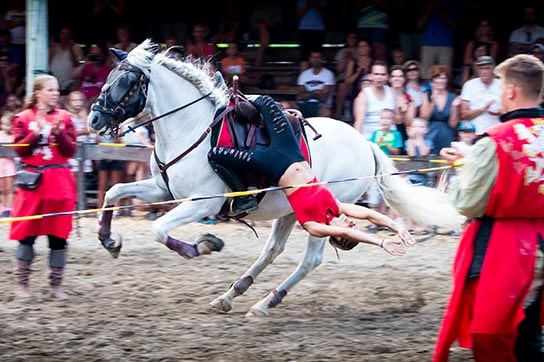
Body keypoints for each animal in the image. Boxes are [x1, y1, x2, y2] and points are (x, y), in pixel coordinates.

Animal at [87, 39, 462, 316]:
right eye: (111, 76)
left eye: (127, 82)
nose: (93, 119)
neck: (192, 128)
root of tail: (366, 143)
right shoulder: (161, 189)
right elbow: (115, 191)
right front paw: (109, 240)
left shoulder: (202, 203)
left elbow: (159, 230)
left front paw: (205, 244)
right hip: (287, 210)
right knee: (272, 250)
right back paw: (231, 295)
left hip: (324, 209)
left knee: (310, 260)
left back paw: (265, 302)